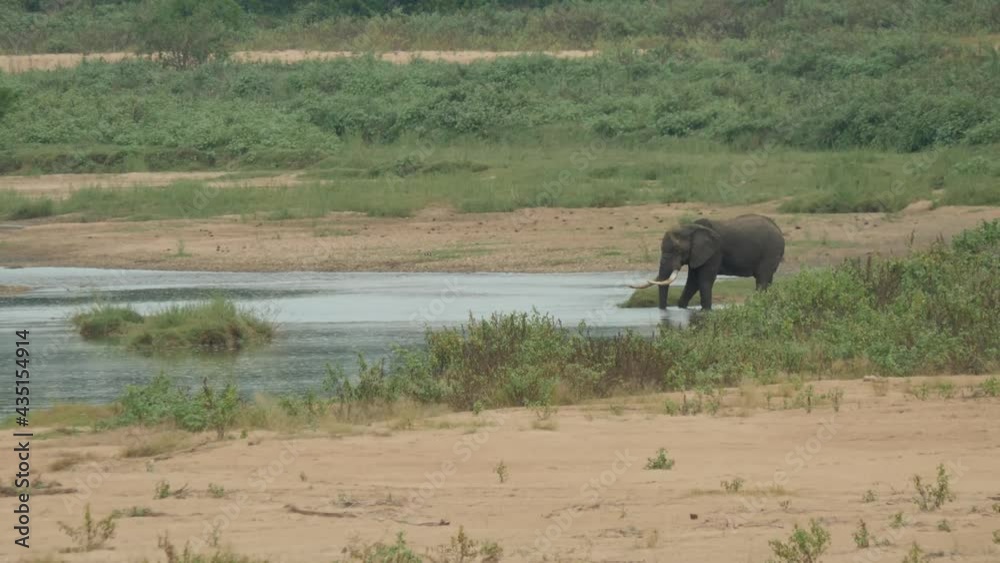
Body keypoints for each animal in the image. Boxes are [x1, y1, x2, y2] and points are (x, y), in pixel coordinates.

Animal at [629, 214, 785, 310]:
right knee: (767, 280)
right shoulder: (696, 255)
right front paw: (682, 308)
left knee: (762, 280)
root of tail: (778, 229)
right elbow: (692, 282)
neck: (691, 228)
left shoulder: (714, 252)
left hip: (770, 251)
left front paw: (706, 311)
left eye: (678, 250)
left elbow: (704, 281)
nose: (663, 311)